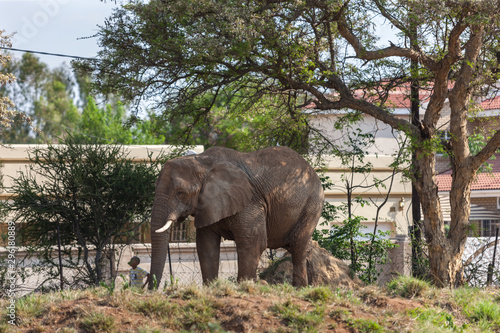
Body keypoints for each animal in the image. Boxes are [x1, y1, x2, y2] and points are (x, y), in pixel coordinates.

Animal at [148, 146, 324, 288]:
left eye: (180, 193)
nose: (151, 289)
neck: (202, 162)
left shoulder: (250, 203)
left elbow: (252, 242)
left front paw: (245, 286)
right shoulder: (207, 205)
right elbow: (206, 246)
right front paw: (211, 288)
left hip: (312, 204)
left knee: (298, 246)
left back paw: (299, 288)